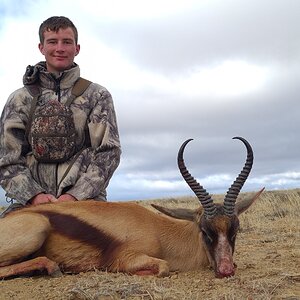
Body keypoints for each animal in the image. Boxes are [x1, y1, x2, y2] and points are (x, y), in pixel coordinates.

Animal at [0, 137, 262, 278]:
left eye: (235, 231)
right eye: (206, 231)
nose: (226, 270)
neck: (159, 232)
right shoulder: (129, 257)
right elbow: (163, 267)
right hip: (37, 228)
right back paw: (52, 268)